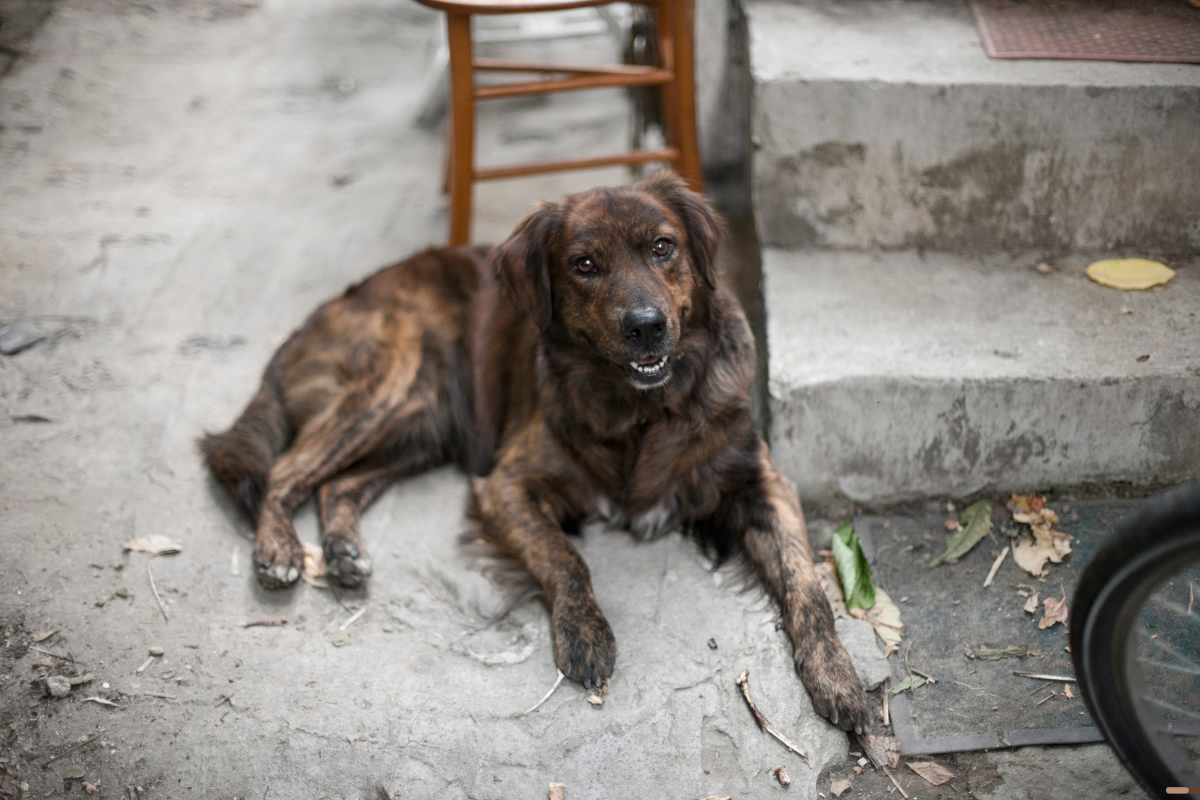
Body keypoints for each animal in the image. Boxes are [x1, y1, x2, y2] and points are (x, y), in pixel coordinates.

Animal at [201, 173, 868, 734]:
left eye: (662, 247)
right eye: (584, 265)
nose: (646, 326)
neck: (642, 412)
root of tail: (315, 318)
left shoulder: (761, 481)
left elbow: (806, 582)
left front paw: (838, 676)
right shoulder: (504, 483)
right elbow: (564, 558)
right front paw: (585, 633)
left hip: (422, 424)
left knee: (338, 483)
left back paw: (342, 551)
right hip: (388, 384)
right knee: (286, 471)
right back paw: (279, 551)